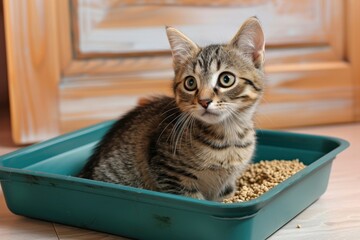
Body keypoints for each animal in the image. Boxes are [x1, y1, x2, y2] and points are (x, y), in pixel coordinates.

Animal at [79, 15, 264, 202]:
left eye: (226, 79)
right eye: (190, 83)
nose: (204, 101)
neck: (228, 135)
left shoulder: (227, 186)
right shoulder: (169, 173)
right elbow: (194, 199)